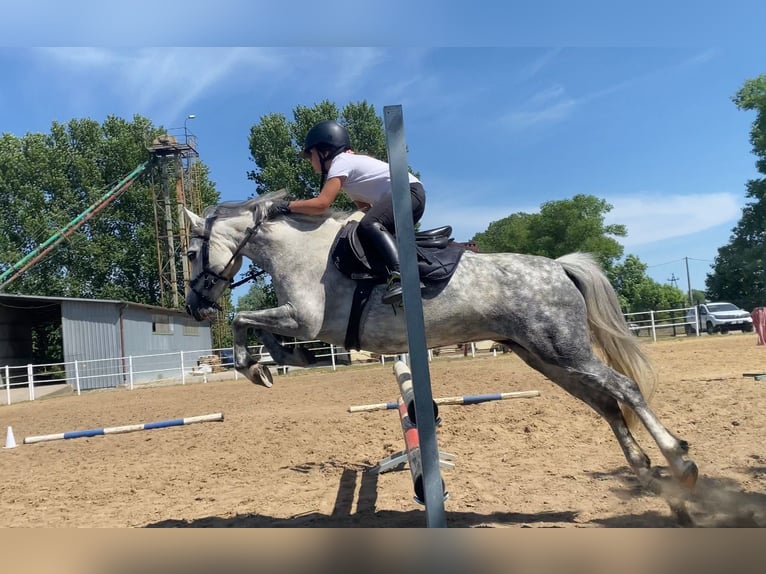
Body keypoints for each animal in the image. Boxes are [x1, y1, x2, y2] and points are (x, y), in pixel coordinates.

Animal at [184, 190, 704, 528]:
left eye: (189, 253)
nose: (195, 307)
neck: (302, 250)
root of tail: (559, 267)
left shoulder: (306, 319)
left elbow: (245, 321)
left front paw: (256, 367)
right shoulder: (302, 322)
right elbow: (259, 328)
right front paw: (275, 362)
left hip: (563, 349)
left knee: (625, 389)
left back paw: (679, 465)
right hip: (545, 358)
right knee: (606, 403)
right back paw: (658, 486)